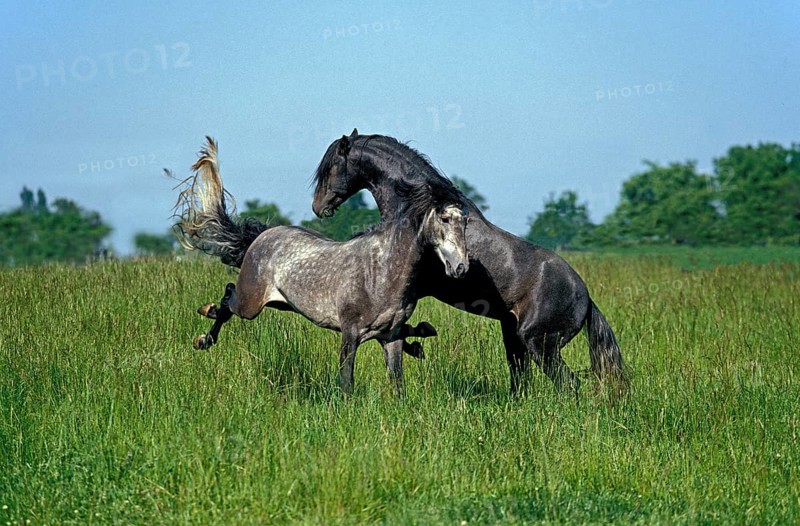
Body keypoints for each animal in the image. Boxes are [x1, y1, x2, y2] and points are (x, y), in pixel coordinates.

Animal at [173, 137, 470, 395]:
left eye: (465, 221)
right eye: (444, 218)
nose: (460, 268)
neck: (382, 270)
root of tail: (263, 235)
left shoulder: (391, 337)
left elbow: (398, 385)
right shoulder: (350, 334)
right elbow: (347, 382)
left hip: (281, 303)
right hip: (250, 303)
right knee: (228, 297)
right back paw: (204, 331)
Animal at [311, 130, 627, 397]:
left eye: (331, 167)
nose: (318, 207)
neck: (419, 207)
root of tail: (585, 298)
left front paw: (416, 344)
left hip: (540, 344)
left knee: (568, 384)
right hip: (514, 336)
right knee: (522, 381)